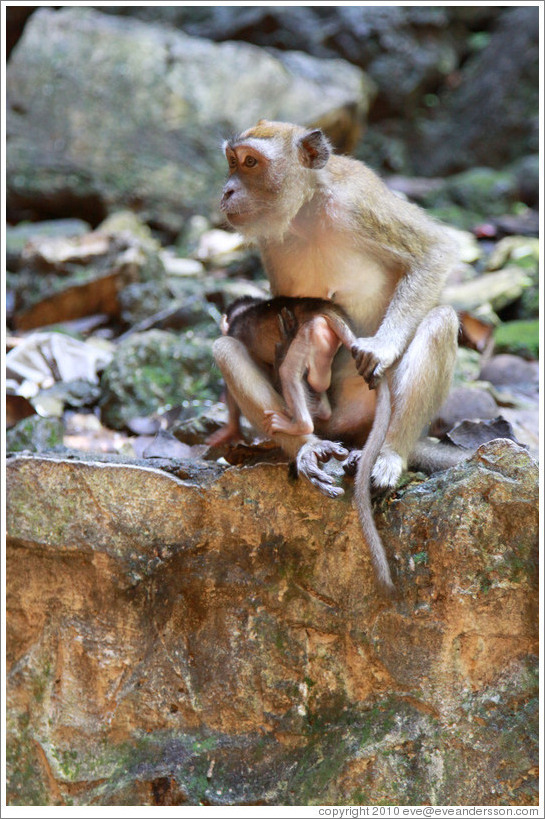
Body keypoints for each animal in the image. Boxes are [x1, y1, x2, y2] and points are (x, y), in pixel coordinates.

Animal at [212, 117, 460, 496]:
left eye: (250, 162)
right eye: (231, 162)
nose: (227, 191)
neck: (306, 209)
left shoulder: (360, 201)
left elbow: (434, 251)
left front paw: (382, 347)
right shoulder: (270, 240)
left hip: (367, 412)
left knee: (441, 321)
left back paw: (389, 453)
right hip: (329, 423)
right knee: (227, 349)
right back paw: (307, 443)